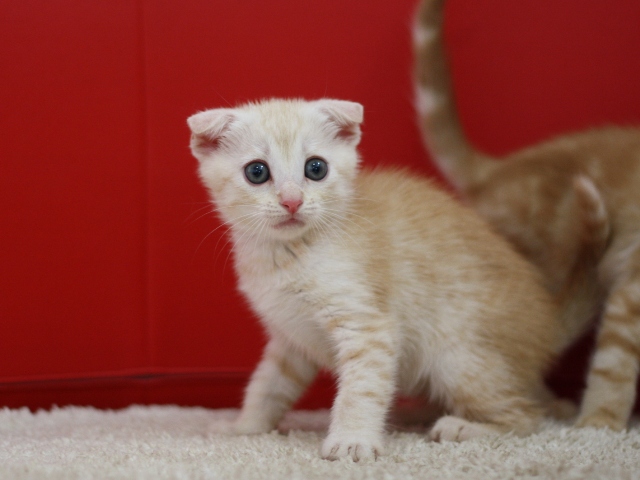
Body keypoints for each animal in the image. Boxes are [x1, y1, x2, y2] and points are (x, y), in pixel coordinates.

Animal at [190, 98, 576, 462]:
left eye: (316, 168)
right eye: (257, 172)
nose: (292, 201)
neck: (285, 255)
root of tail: (548, 325)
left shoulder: (367, 326)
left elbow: (360, 389)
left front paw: (352, 441)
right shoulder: (290, 337)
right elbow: (268, 385)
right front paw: (244, 427)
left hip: (459, 358)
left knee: (527, 416)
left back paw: (463, 427)